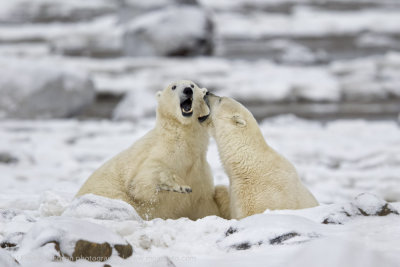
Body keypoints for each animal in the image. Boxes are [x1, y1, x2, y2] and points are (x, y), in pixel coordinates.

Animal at [76, 80, 220, 221]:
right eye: (173, 87)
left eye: (192, 85)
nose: (187, 90)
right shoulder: (159, 152)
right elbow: (141, 182)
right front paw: (178, 186)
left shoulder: (199, 173)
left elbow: (204, 205)